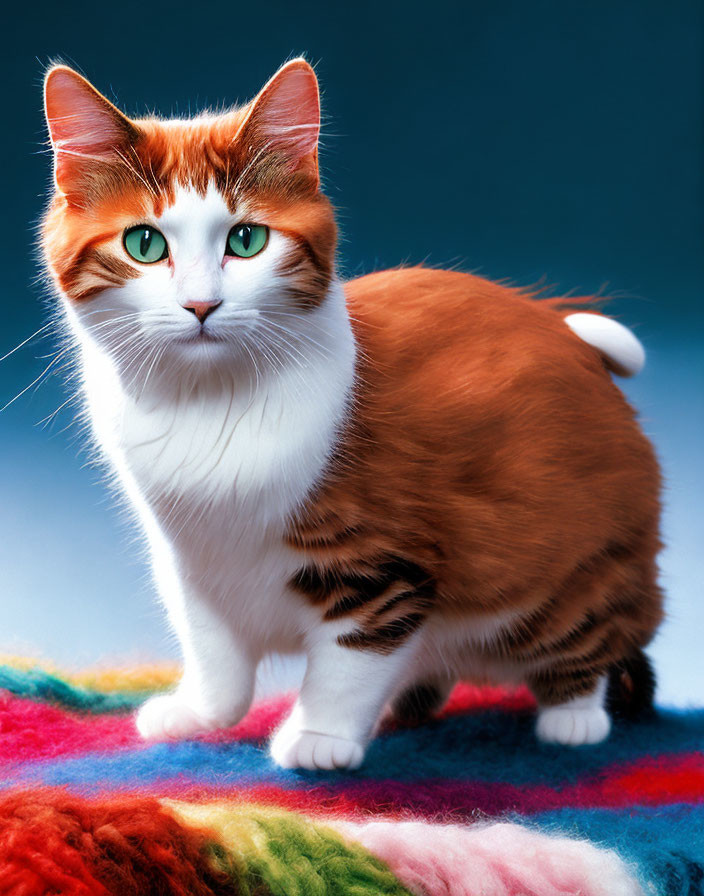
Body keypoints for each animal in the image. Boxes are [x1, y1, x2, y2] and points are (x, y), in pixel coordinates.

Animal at [41, 59, 664, 768]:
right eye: (144, 244)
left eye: (246, 240)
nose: (201, 305)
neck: (209, 403)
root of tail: (574, 340)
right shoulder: (188, 556)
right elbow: (213, 650)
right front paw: (203, 713)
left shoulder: (379, 567)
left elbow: (349, 661)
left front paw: (320, 737)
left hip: (576, 574)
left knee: (587, 643)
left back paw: (573, 716)